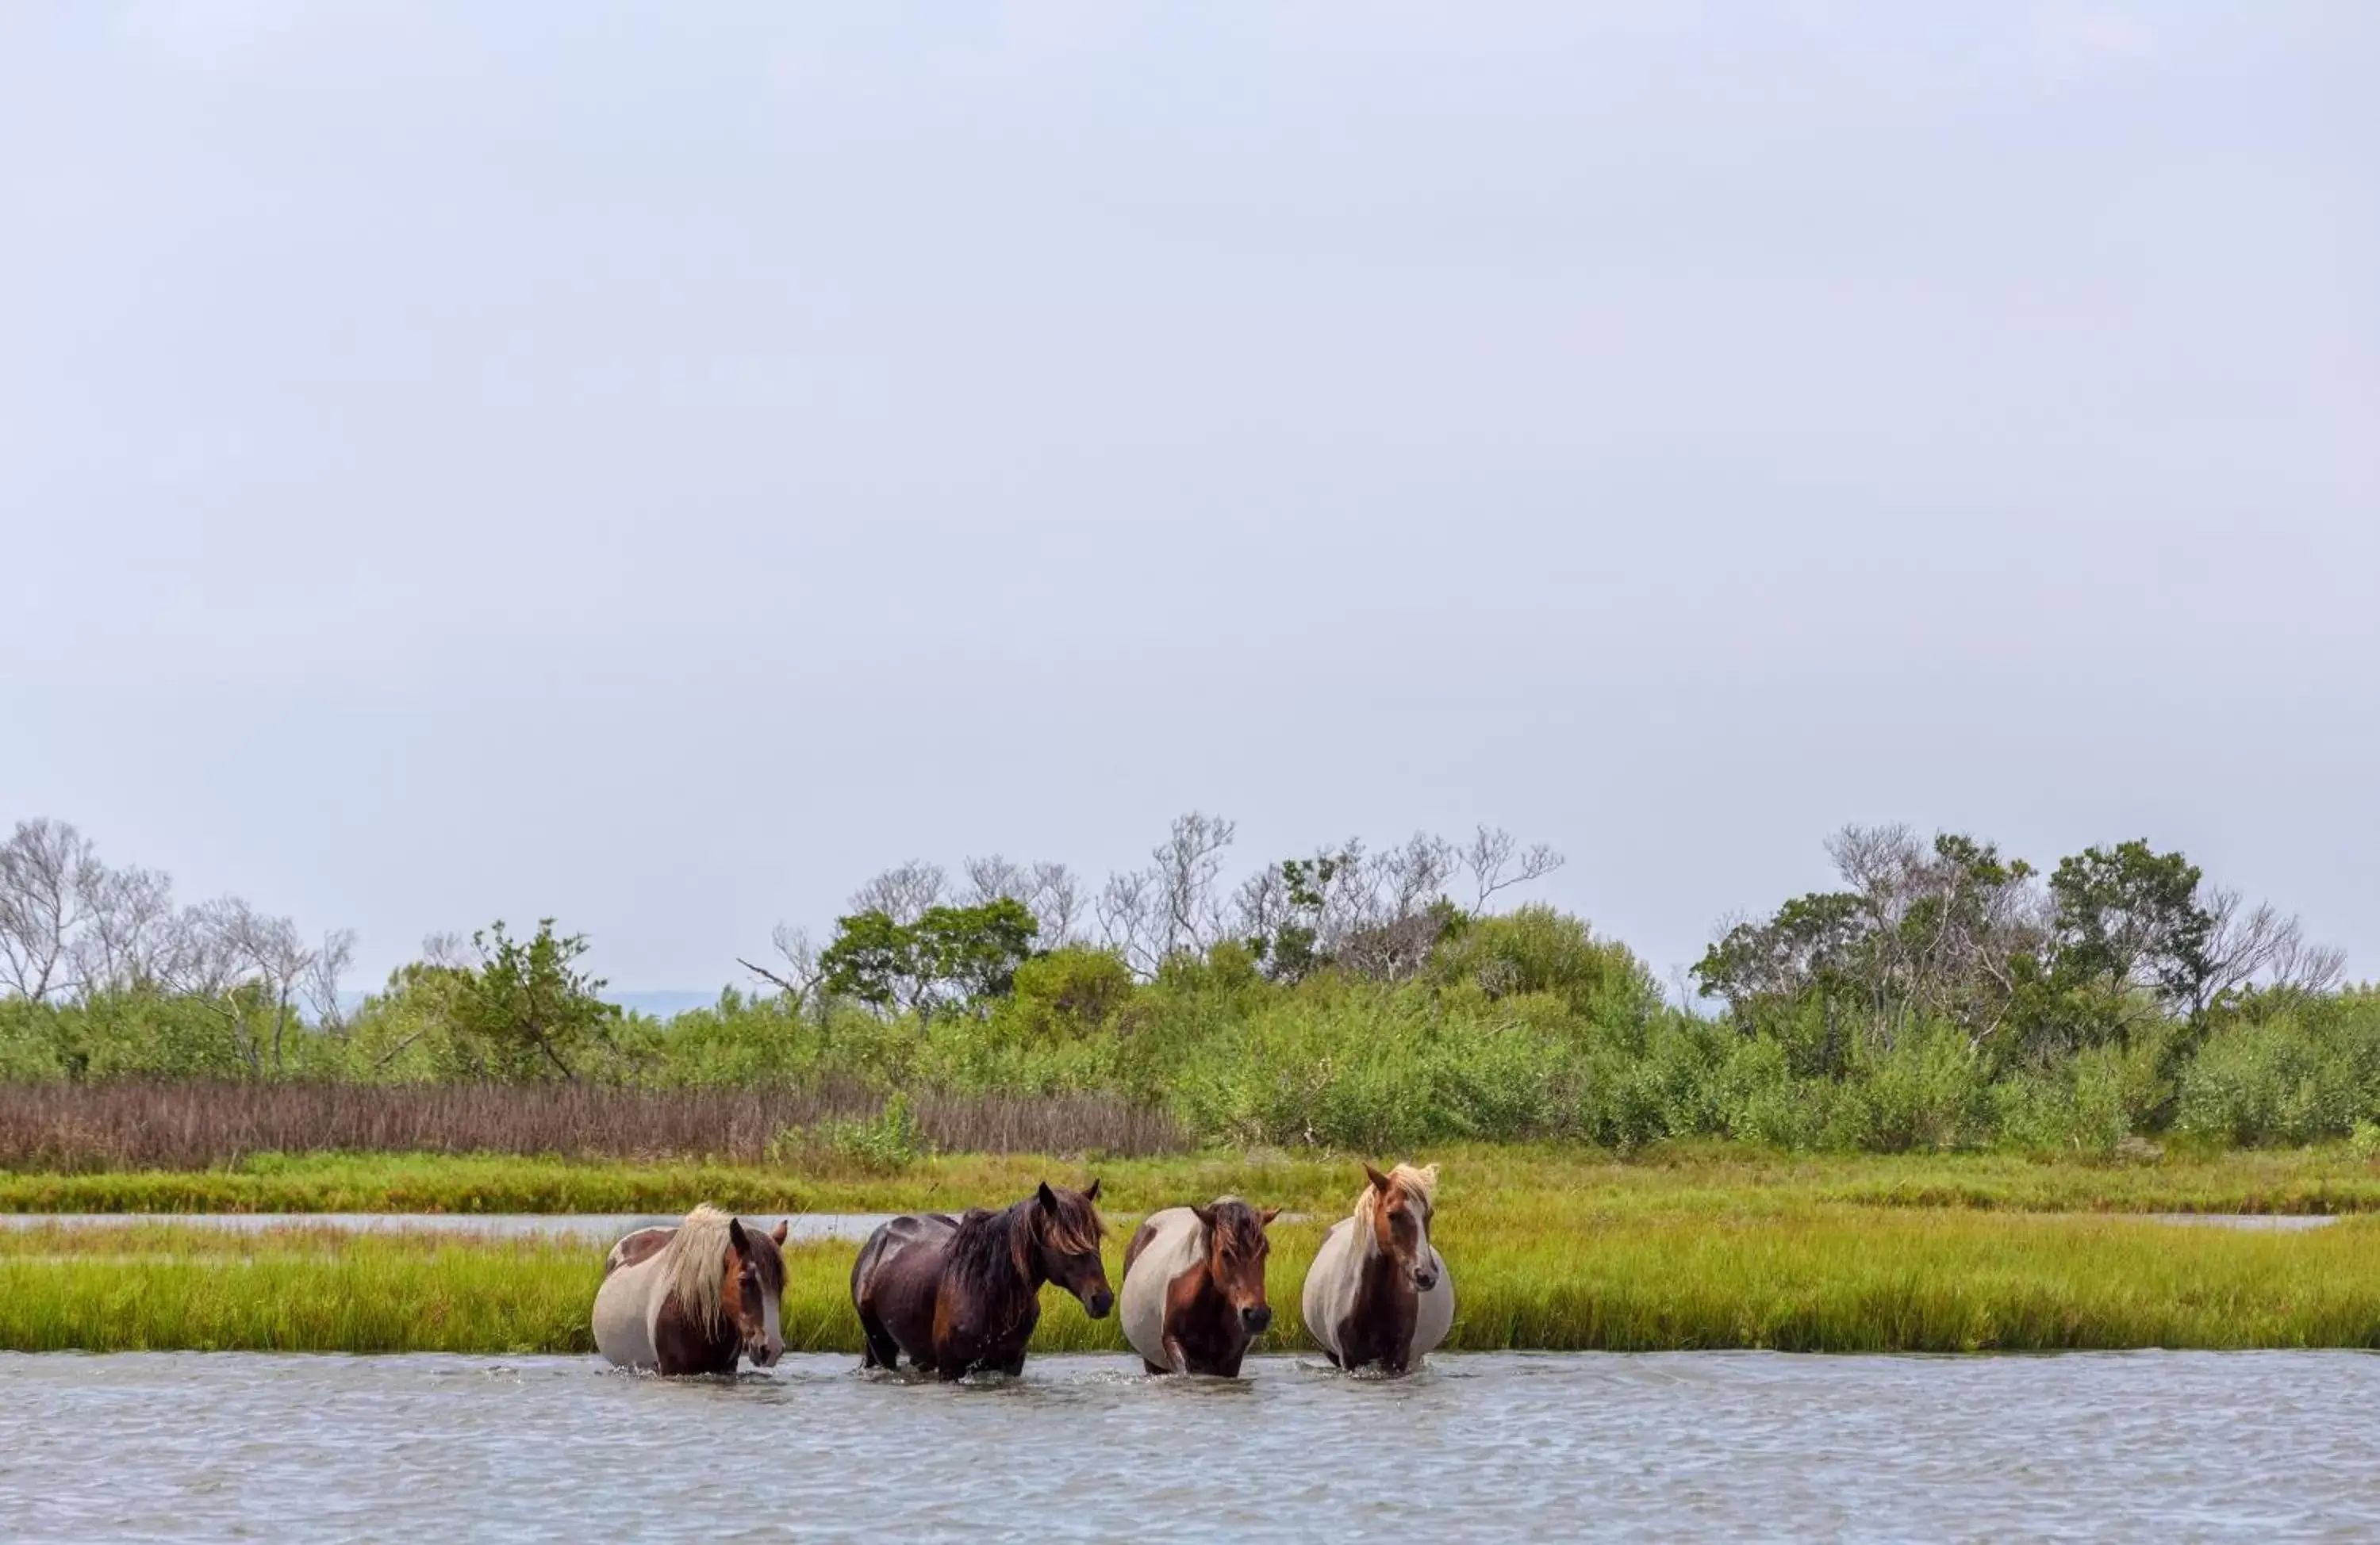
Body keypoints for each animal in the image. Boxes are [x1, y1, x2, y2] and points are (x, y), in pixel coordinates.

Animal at [847, 1175, 1114, 1380]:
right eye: (1064, 1242)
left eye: (1096, 1237)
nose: (1103, 1299)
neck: (991, 1295)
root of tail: (877, 1238)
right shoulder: (951, 1368)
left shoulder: (1010, 1365)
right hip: (880, 1345)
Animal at [1119, 1194, 1285, 1371]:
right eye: (1225, 1252)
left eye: (1265, 1251)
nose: (1257, 1315)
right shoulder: (1173, 1343)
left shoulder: (1233, 1359)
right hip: (1151, 1362)